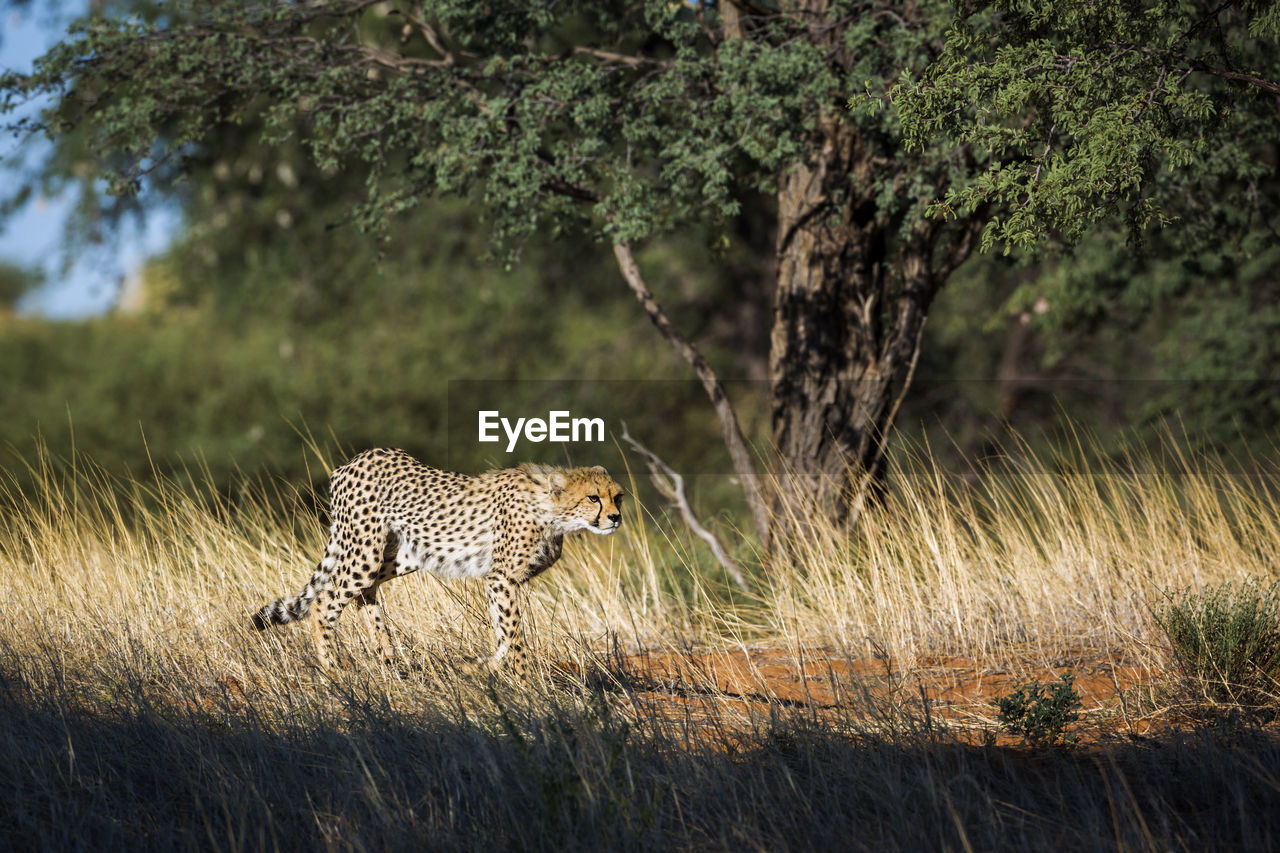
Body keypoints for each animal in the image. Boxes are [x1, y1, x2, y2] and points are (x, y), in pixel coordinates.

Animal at [250, 445, 624, 676]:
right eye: (593, 498)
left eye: (617, 496)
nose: (616, 518)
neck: (552, 510)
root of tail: (353, 461)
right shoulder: (502, 577)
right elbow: (513, 632)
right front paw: (523, 678)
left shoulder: (498, 580)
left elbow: (503, 632)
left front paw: (482, 667)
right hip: (364, 550)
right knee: (326, 600)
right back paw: (332, 667)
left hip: (404, 554)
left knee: (363, 592)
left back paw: (388, 657)